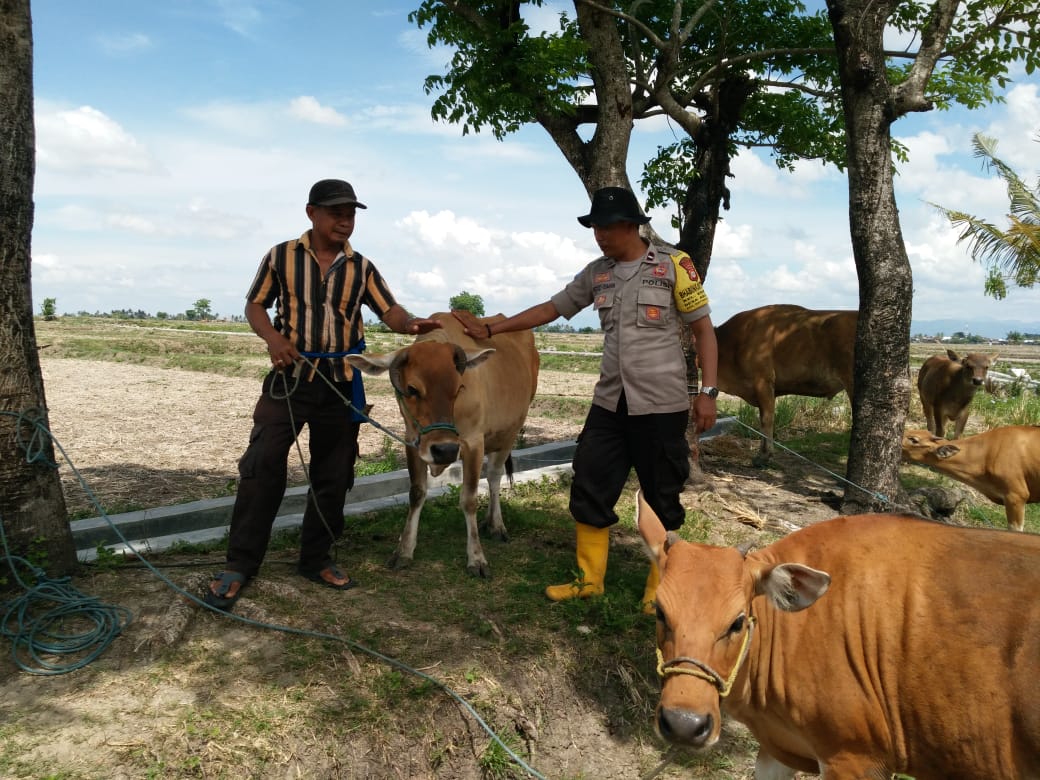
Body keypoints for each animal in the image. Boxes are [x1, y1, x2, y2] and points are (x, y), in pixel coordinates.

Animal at [351, 314, 544, 582]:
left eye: (459, 388)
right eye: (412, 389)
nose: (445, 451)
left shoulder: (473, 443)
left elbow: (469, 499)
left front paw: (476, 558)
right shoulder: (413, 441)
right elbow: (416, 493)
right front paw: (404, 550)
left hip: (509, 434)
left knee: (494, 477)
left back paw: (496, 524)